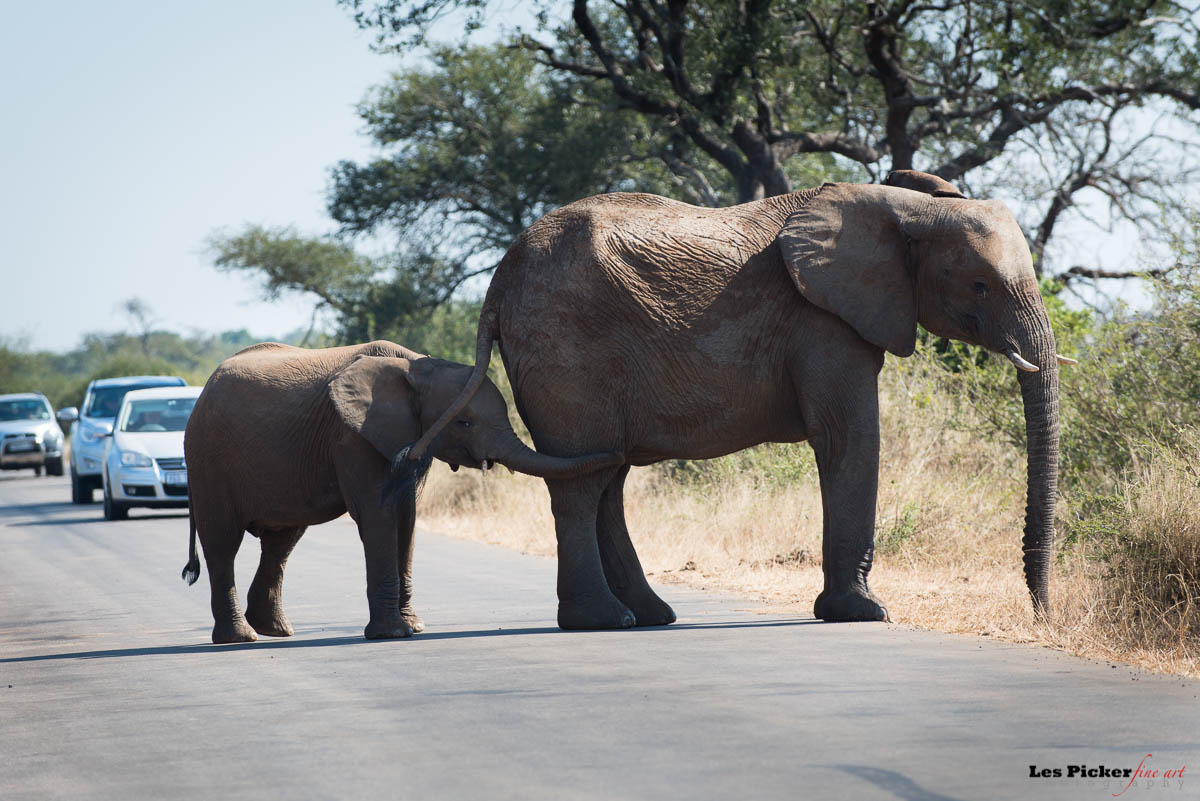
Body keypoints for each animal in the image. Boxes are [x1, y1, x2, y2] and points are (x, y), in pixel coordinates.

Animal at [182, 340, 624, 642]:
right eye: (463, 422)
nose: (619, 453)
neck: (415, 367)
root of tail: (204, 388)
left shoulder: (409, 437)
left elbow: (407, 517)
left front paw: (414, 627)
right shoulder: (351, 436)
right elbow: (379, 515)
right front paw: (393, 634)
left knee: (282, 541)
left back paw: (276, 630)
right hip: (207, 458)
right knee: (223, 541)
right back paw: (241, 638)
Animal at [410, 172, 1060, 628]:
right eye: (980, 286)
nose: (1042, 615)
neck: (902, 206)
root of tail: (497, 281)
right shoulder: (821, 321)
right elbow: (847, 437)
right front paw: (862, 613)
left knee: (603, 476)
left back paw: (650, 616)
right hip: (564, 346)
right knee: (582, 482)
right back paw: (602, 621)